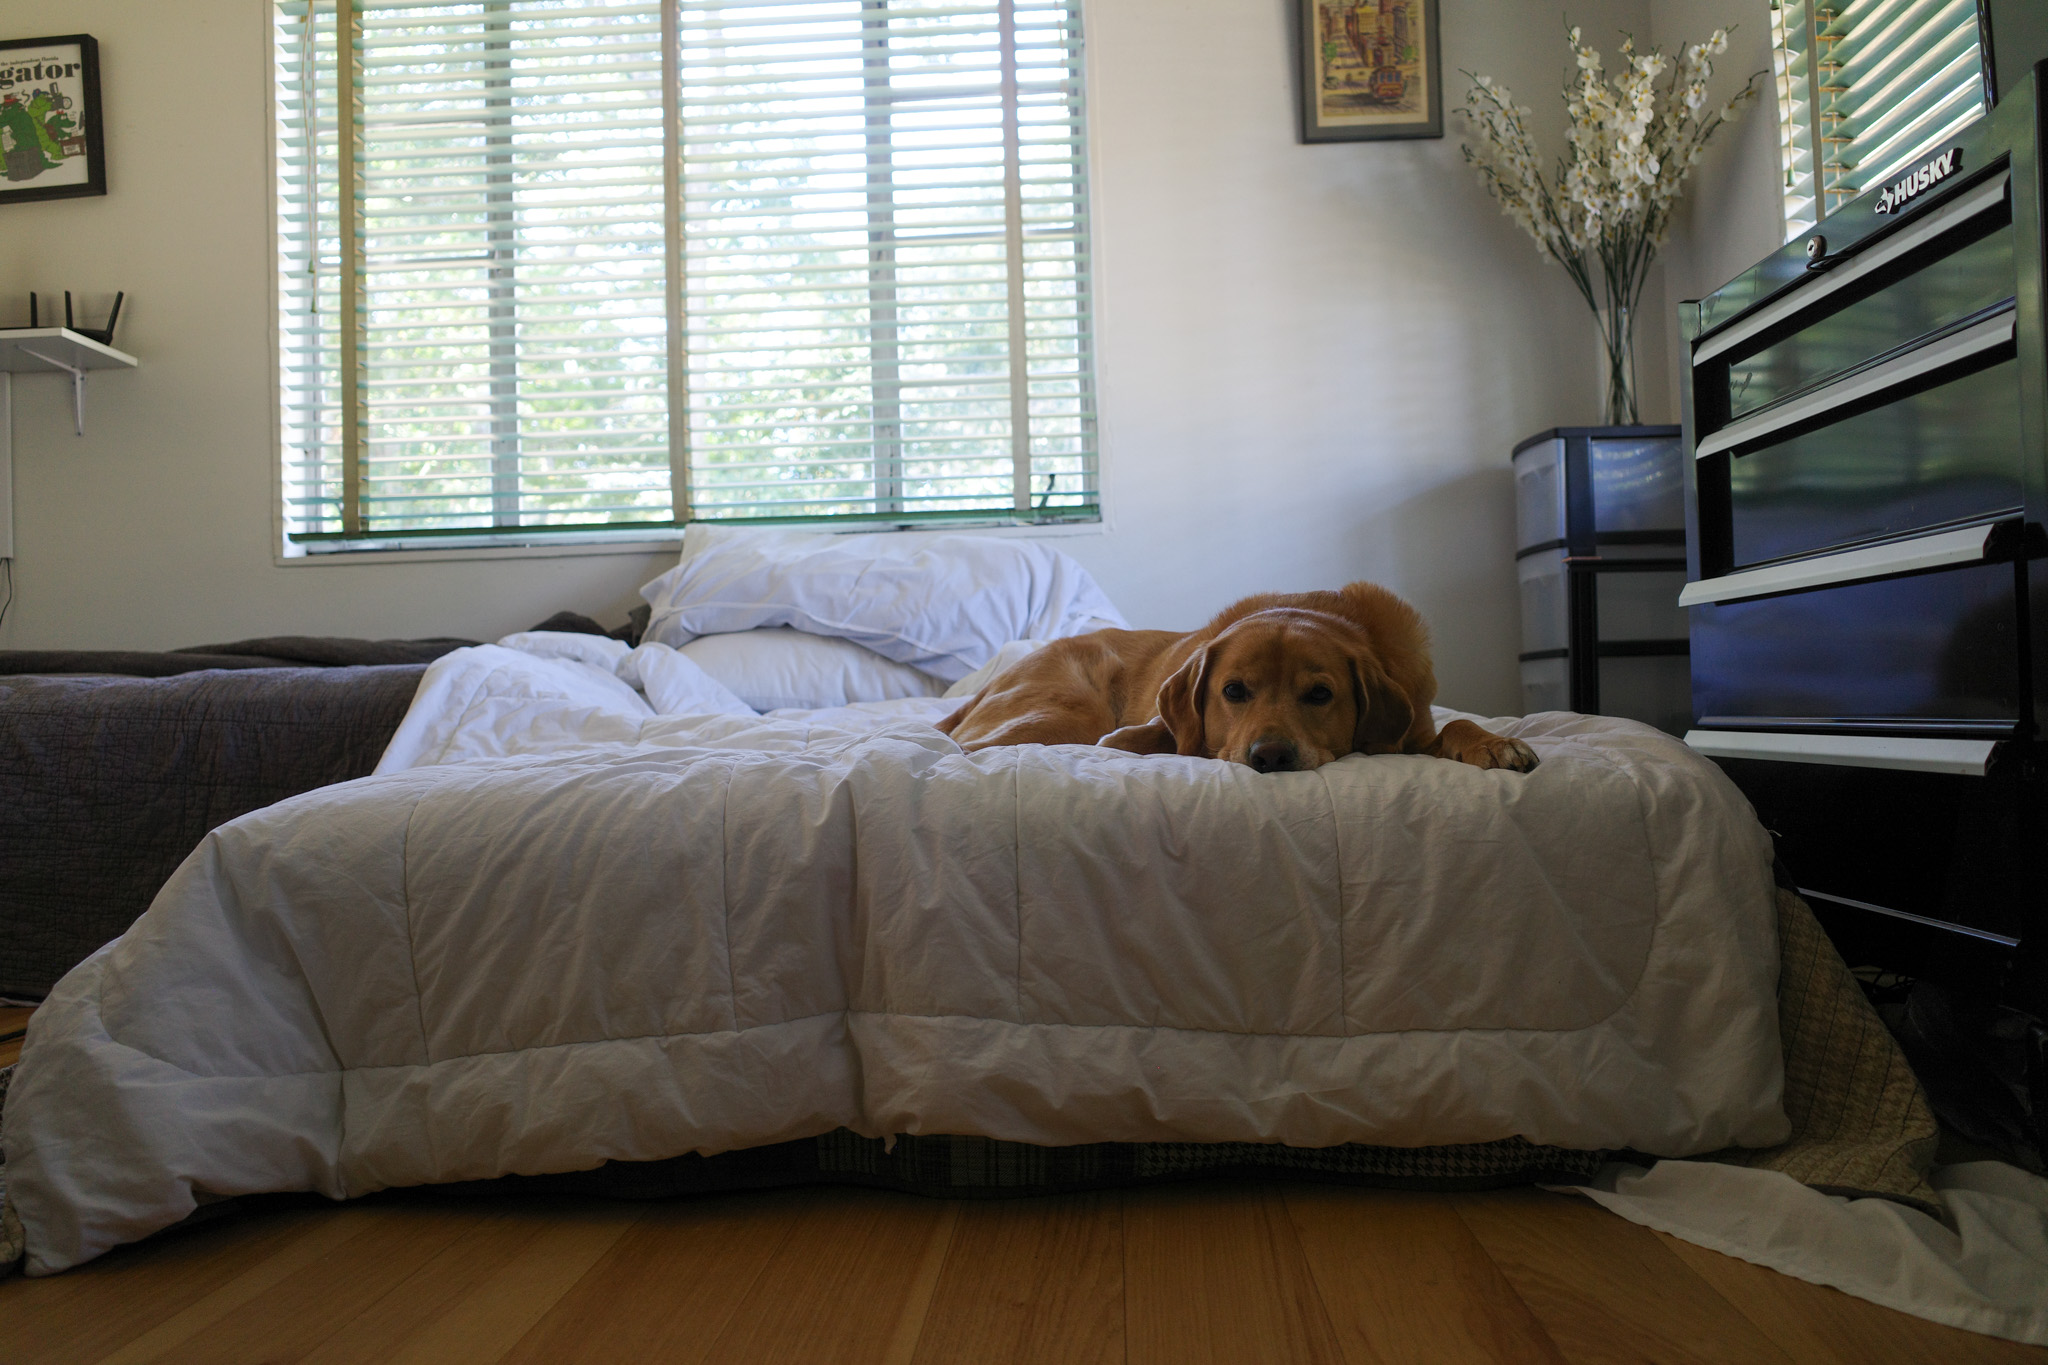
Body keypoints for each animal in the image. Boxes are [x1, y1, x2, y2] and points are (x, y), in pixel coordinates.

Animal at [933, 581, 1540, 773]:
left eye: (1320, 694)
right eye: (1233, 692)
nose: (1270, 756)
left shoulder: (1410, 733)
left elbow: (1454, 726)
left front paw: (1493, 742)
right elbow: (1155, 734)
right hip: (1068, 712)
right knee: (970, 747)